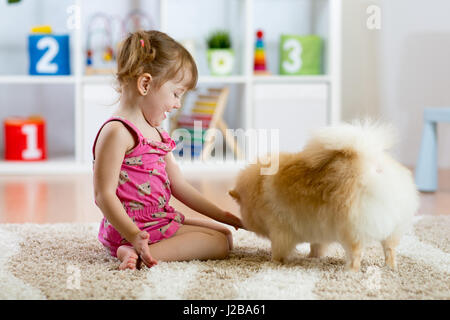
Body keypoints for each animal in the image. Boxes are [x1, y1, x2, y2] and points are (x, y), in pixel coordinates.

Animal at [230, 121, 420, 272]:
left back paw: (350, 271)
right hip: (393, 229)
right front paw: (312, 257)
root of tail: (373, 164)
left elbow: (279, 250)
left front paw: (273, 262)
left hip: (351, 229)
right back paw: (391, 267)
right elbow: (316, 246)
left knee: (356, 252)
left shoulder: (280, 230)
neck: (259, 188)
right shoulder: (317, 227)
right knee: (390, 249)